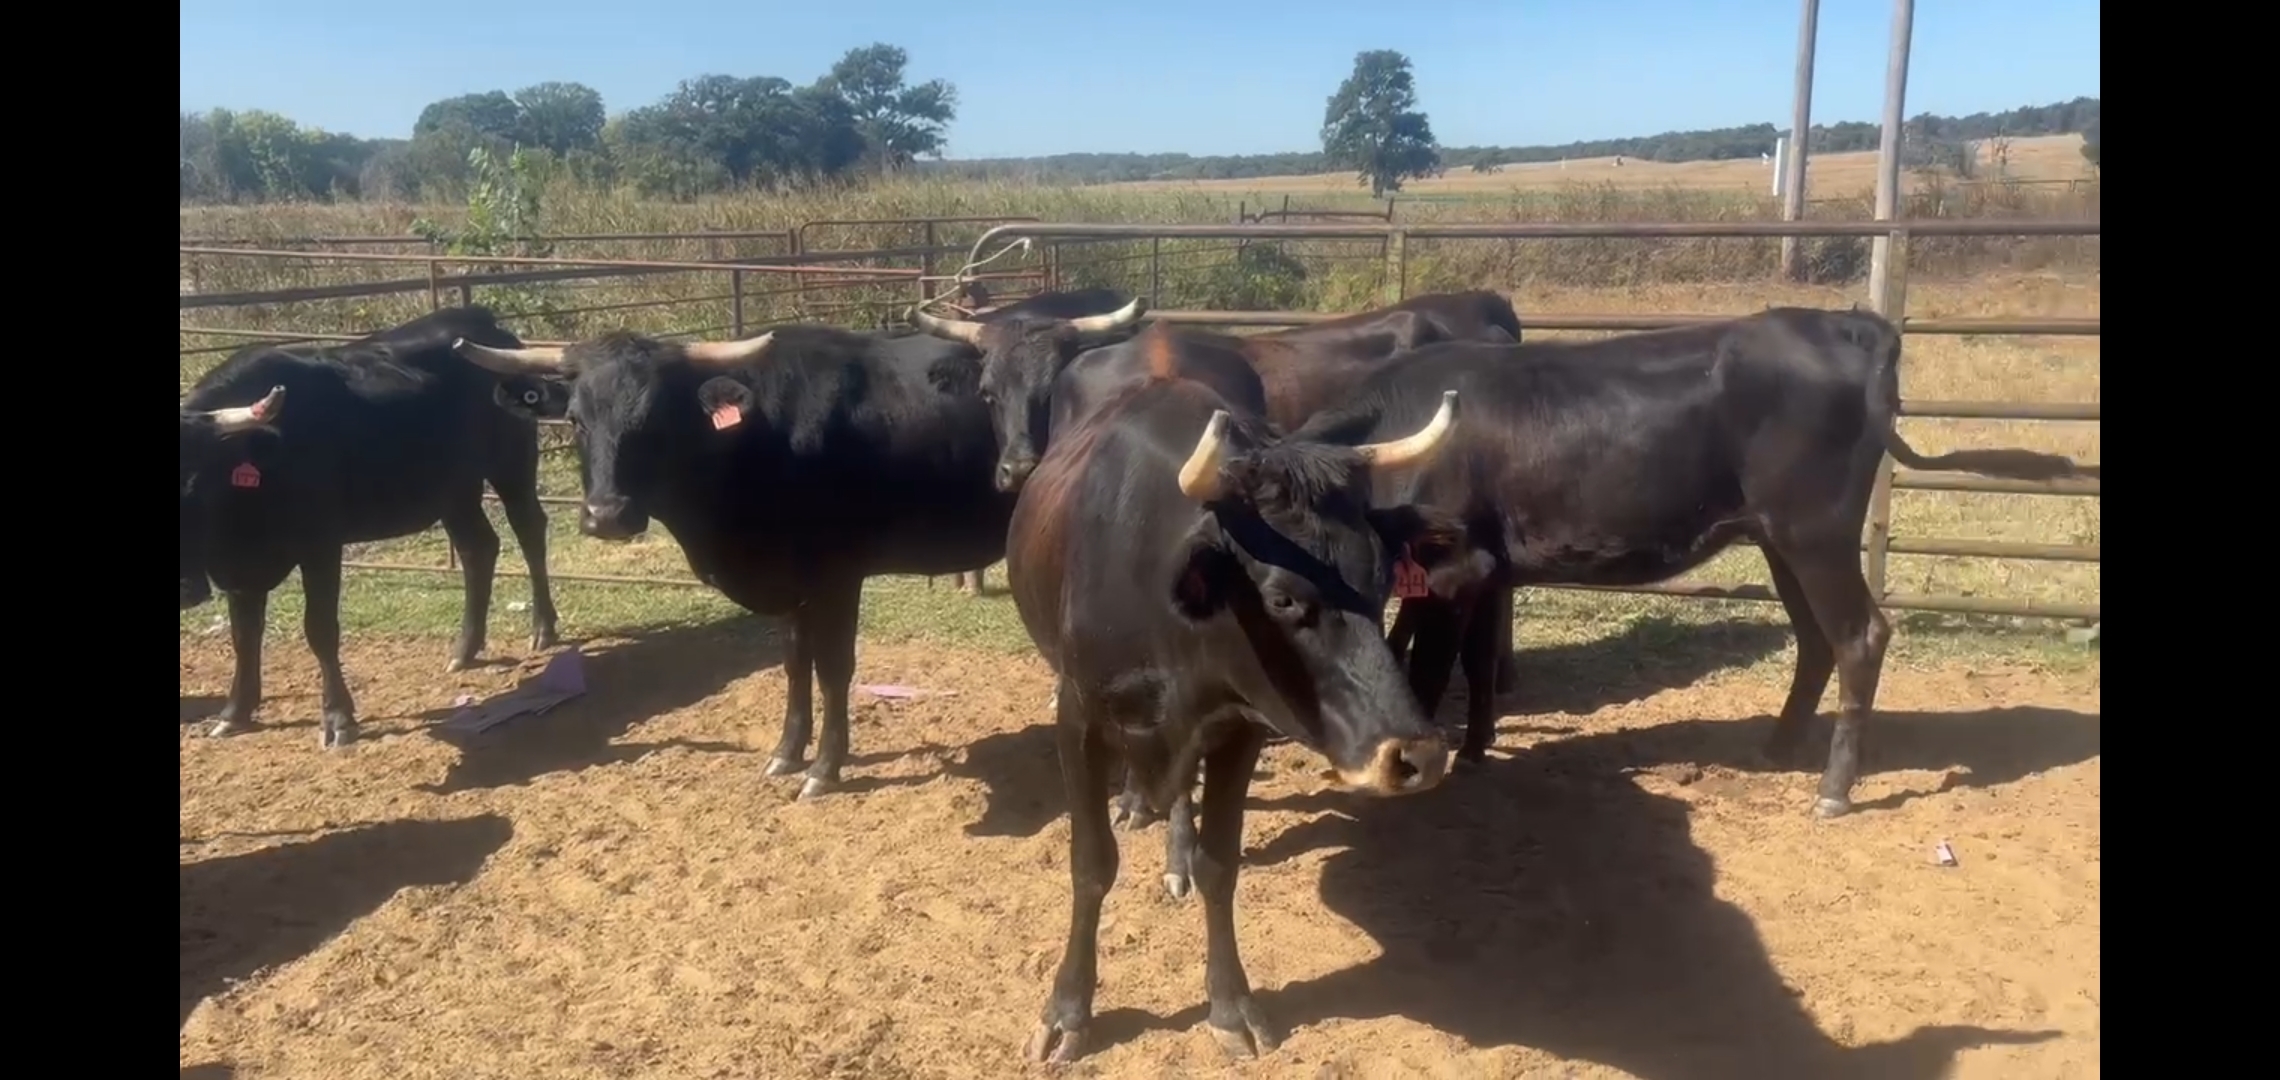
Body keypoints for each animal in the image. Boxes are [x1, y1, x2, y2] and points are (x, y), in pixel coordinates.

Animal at [179, 306, 560, 750]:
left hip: (512, 466)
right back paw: (464, 649)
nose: (187, 590)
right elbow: (244, 636)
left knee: (529, 531)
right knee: (477, 549)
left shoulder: (321, 546)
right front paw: (234, 713)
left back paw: (543, 628)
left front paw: (338, 718)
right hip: (455, 492)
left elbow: (319, 628)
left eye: (196, 483)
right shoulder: (241, 572)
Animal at [450, 319, 1033, 800]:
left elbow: (834, 668)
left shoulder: (838, 577)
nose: (607, 514)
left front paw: (824, 769)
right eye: (575, 420)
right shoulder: (789, 584)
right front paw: (786, 754)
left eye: (656, 419)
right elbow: (796, 663)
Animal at [1002, 335, 1490, 1063]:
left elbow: (1218, 864)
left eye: (1382, 580)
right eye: (1283, 597)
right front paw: (1069, 1012)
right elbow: (1091, 865)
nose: (1417, 756)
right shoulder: (1079, 717)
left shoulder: (1238, 725)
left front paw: (1231, 1005)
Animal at [1288, 306, 2100, 818]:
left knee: (1859, 636)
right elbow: (1476, 658)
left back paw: (1835, 789)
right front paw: (1479, 747)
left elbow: (1429, 669)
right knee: (1816, 641)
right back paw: (1778, 747)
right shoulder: (1482, 571)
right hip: (1780, 540)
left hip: (1815, 533)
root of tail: (1842, 323)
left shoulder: (1451, 571)